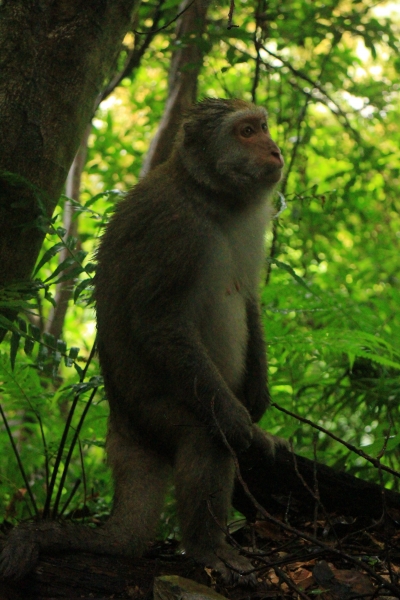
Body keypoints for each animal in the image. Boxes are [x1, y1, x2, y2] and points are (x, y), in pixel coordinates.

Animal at [0, 98, 284, 584]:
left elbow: (248, 300)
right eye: (246, 132)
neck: (211, 199)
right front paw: (234, 415)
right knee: (205, 438)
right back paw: (208, 549)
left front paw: (259, 397)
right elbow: (158, 321)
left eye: (262, 126)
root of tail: (121, 426)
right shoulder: (175, 232)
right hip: (153, 410)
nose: (275, 149)